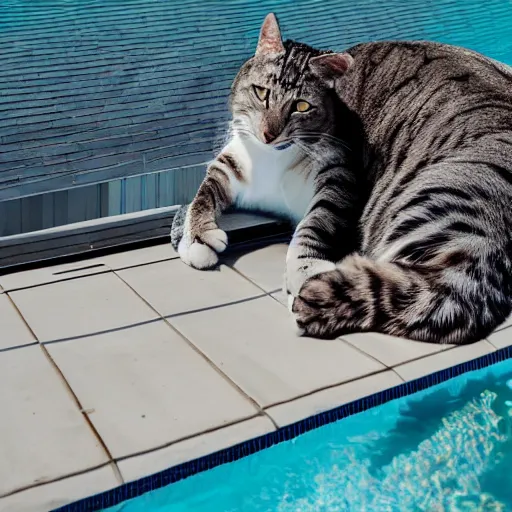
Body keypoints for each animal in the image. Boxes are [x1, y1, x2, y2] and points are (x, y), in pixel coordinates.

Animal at [172, 14, 512, 346]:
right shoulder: (231, 163)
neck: (272, 158)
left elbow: (313, 225)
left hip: (429, 200)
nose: (269, 135)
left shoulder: (340, 179)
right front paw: (197, 238)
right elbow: (203, 194)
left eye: (301, 106)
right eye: (261, 93)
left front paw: (303, 270)